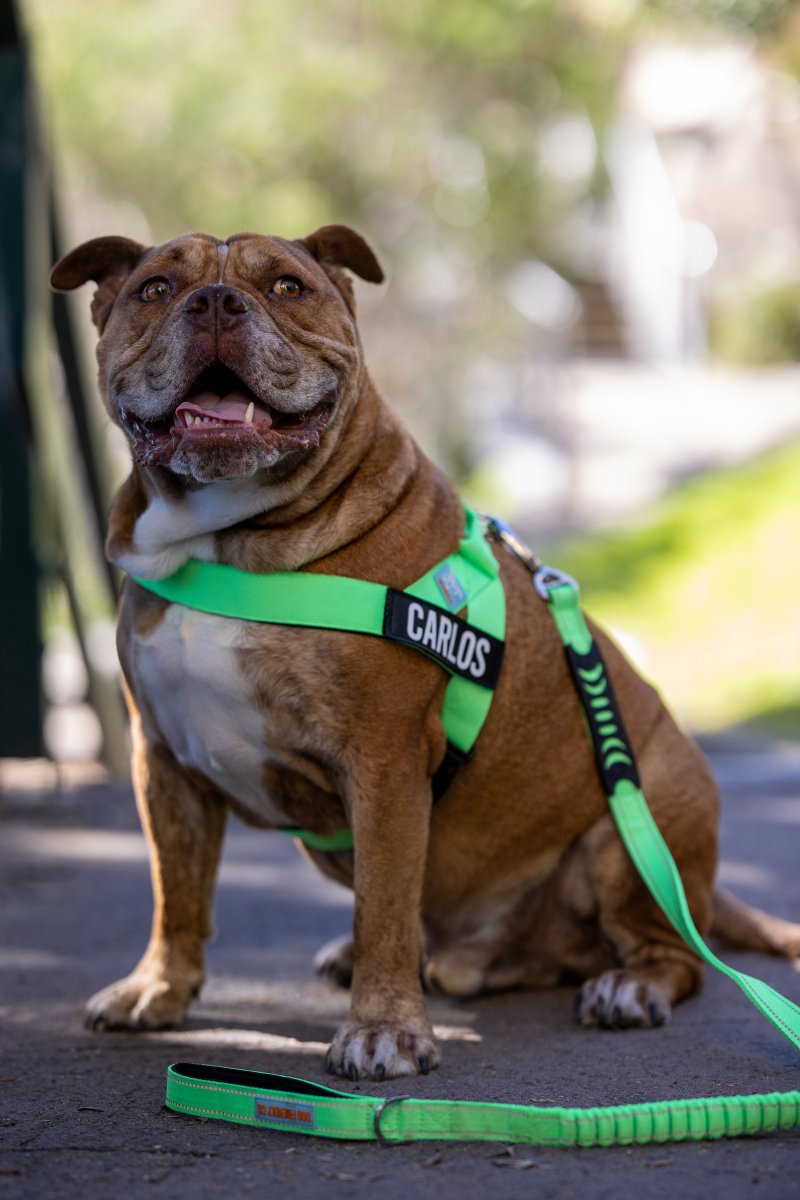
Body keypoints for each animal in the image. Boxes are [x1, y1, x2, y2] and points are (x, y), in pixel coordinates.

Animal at [51, 225, 800, 1080]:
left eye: (286, 287)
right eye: (155, 289)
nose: (213, 301)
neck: (226, 541)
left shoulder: (383, 763)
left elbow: (383, 905)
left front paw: (382, 1029)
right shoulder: (163, 764)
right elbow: (175, 892)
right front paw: (159, 989)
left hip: (637, 829)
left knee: (671, 953)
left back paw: (630, 986)